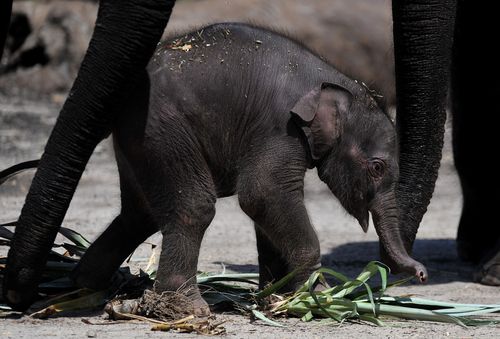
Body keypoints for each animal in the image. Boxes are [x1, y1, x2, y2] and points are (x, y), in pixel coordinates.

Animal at [72, 23, 428, 316]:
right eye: (377, 167)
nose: (422, 274)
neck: (334, 83)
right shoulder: (280, 128)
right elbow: (263, 193)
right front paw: (319, 296)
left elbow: (265, 209)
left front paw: (278, 297)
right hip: (162, 128)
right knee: (193, 206)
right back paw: (187, 309)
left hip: (142, 140)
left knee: (139, 213)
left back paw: (85, 285)